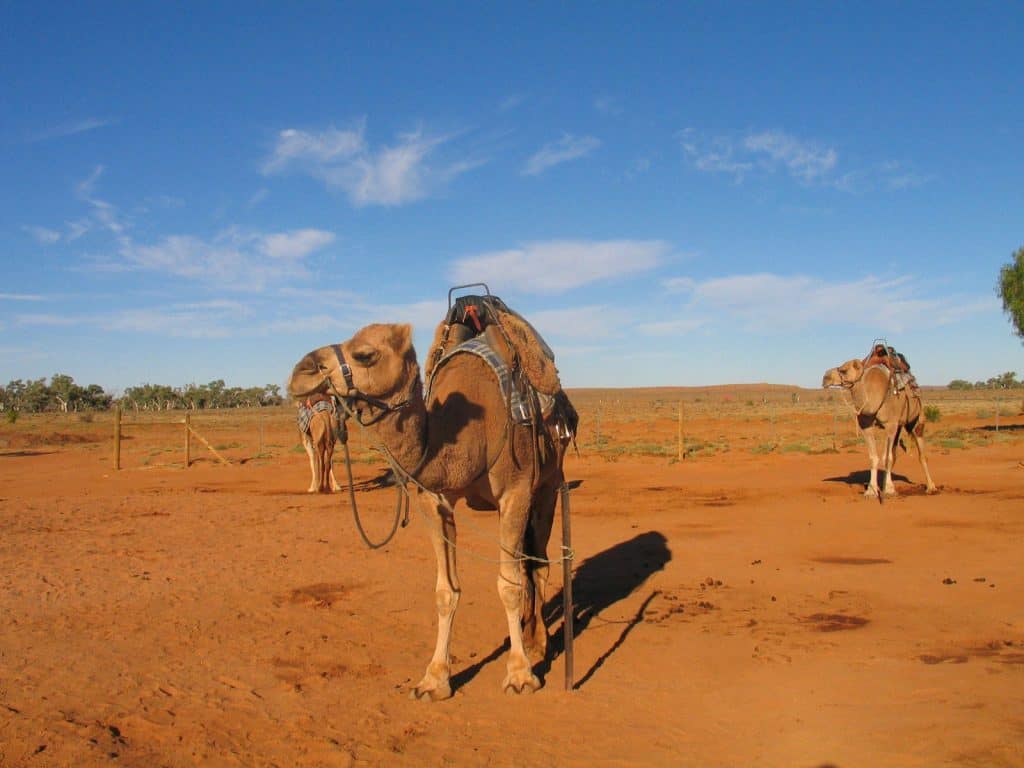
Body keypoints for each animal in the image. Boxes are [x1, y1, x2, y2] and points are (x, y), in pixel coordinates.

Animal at [288, 321, 577, 700]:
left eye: (365, 354)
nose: (300, 372)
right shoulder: (435, 500)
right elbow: (446, 590)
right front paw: (434, 679)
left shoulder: (515, 491)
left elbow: (508, 585)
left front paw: (519, 675)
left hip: (547, 485)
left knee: (539, 562)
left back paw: (539, 643)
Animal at [823, 360, 937, 499]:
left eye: (844, 370)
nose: (825, 377)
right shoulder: (866, 426)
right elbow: (874, 457)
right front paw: (871, 490)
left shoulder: (890, 424)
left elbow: (887, 458)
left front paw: (889, 490)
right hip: (899, 427)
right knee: (895, 453)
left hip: (917, 419)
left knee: (921, 454)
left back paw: (931, 487)